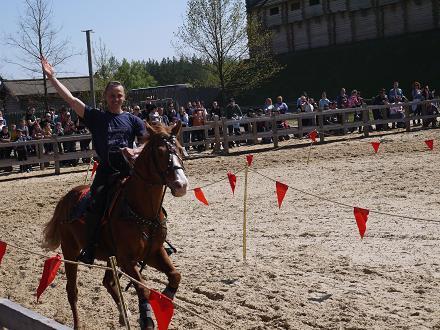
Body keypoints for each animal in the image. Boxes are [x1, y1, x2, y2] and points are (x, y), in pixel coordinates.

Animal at [42, 122, 190, 330]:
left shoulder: (153, 252)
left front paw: (166, 297)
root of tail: (65, 199)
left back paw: (124, 314)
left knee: (108, 282)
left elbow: (175, 275)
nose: (181, 184)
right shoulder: (127, 259)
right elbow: (143, 289)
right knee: (72, 291)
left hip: (110, 257)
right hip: (70, 250)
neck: (141, 211)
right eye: (160, 152)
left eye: (179, 149)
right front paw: (146, 319)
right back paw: (79, 323)